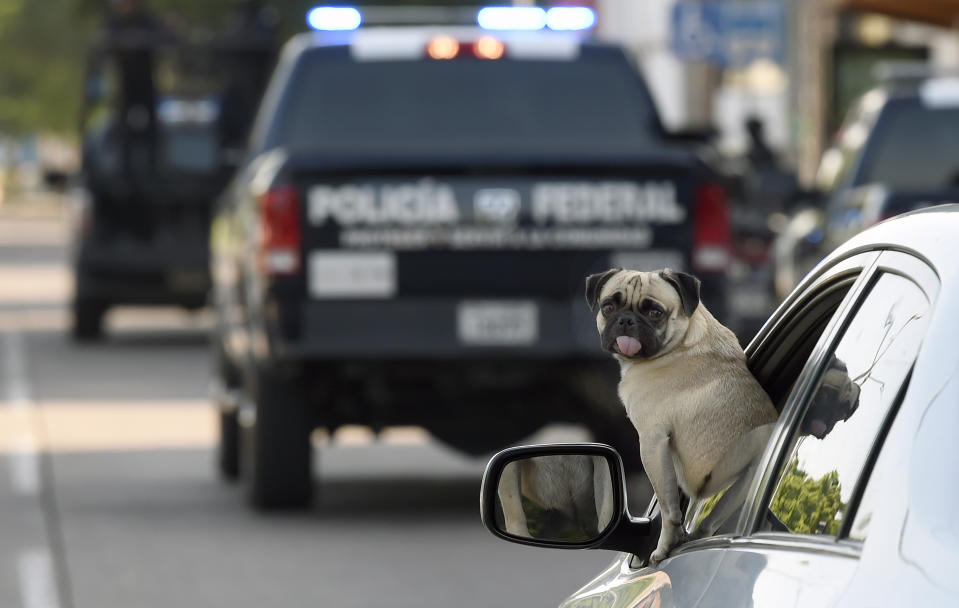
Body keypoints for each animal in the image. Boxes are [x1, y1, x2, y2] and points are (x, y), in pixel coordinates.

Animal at [584, 268, 780, 568]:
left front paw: (663, 548)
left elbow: (669, 509)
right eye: (608, 307)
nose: (626, 320)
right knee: (712, 520)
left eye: (655, 313)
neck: (682, 341)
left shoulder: (652, 442)